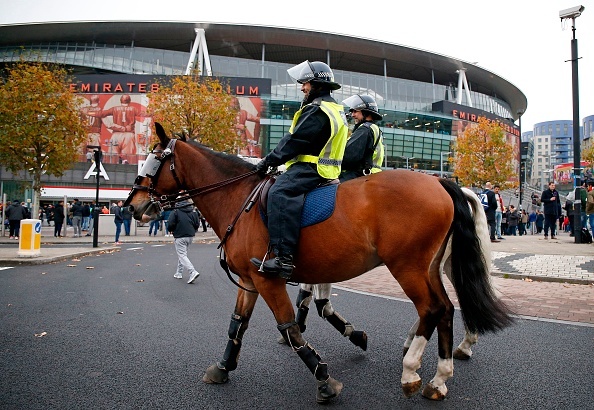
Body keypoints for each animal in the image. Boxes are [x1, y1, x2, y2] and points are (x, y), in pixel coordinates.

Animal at [126, 123, 512, 406]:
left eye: (153, 160)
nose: (133, 206)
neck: (242, 200)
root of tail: (443, 183)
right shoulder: (251, 281)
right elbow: (238, 324)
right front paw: (223, 367)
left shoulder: (269, 280)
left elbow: (290, 325)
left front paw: (325, 378)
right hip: (430, 267)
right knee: (445, 308)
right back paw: (439, 377)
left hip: (409, 267)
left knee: (432, 308)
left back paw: (412, 370)